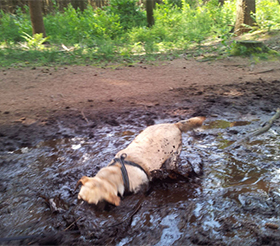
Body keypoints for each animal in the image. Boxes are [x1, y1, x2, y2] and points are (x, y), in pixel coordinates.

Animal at [76, 116, 206, 205]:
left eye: (92, 203)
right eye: (80, 197)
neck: (119, 172)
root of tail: (175, 124)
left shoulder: (142, 186)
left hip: (173, 157)